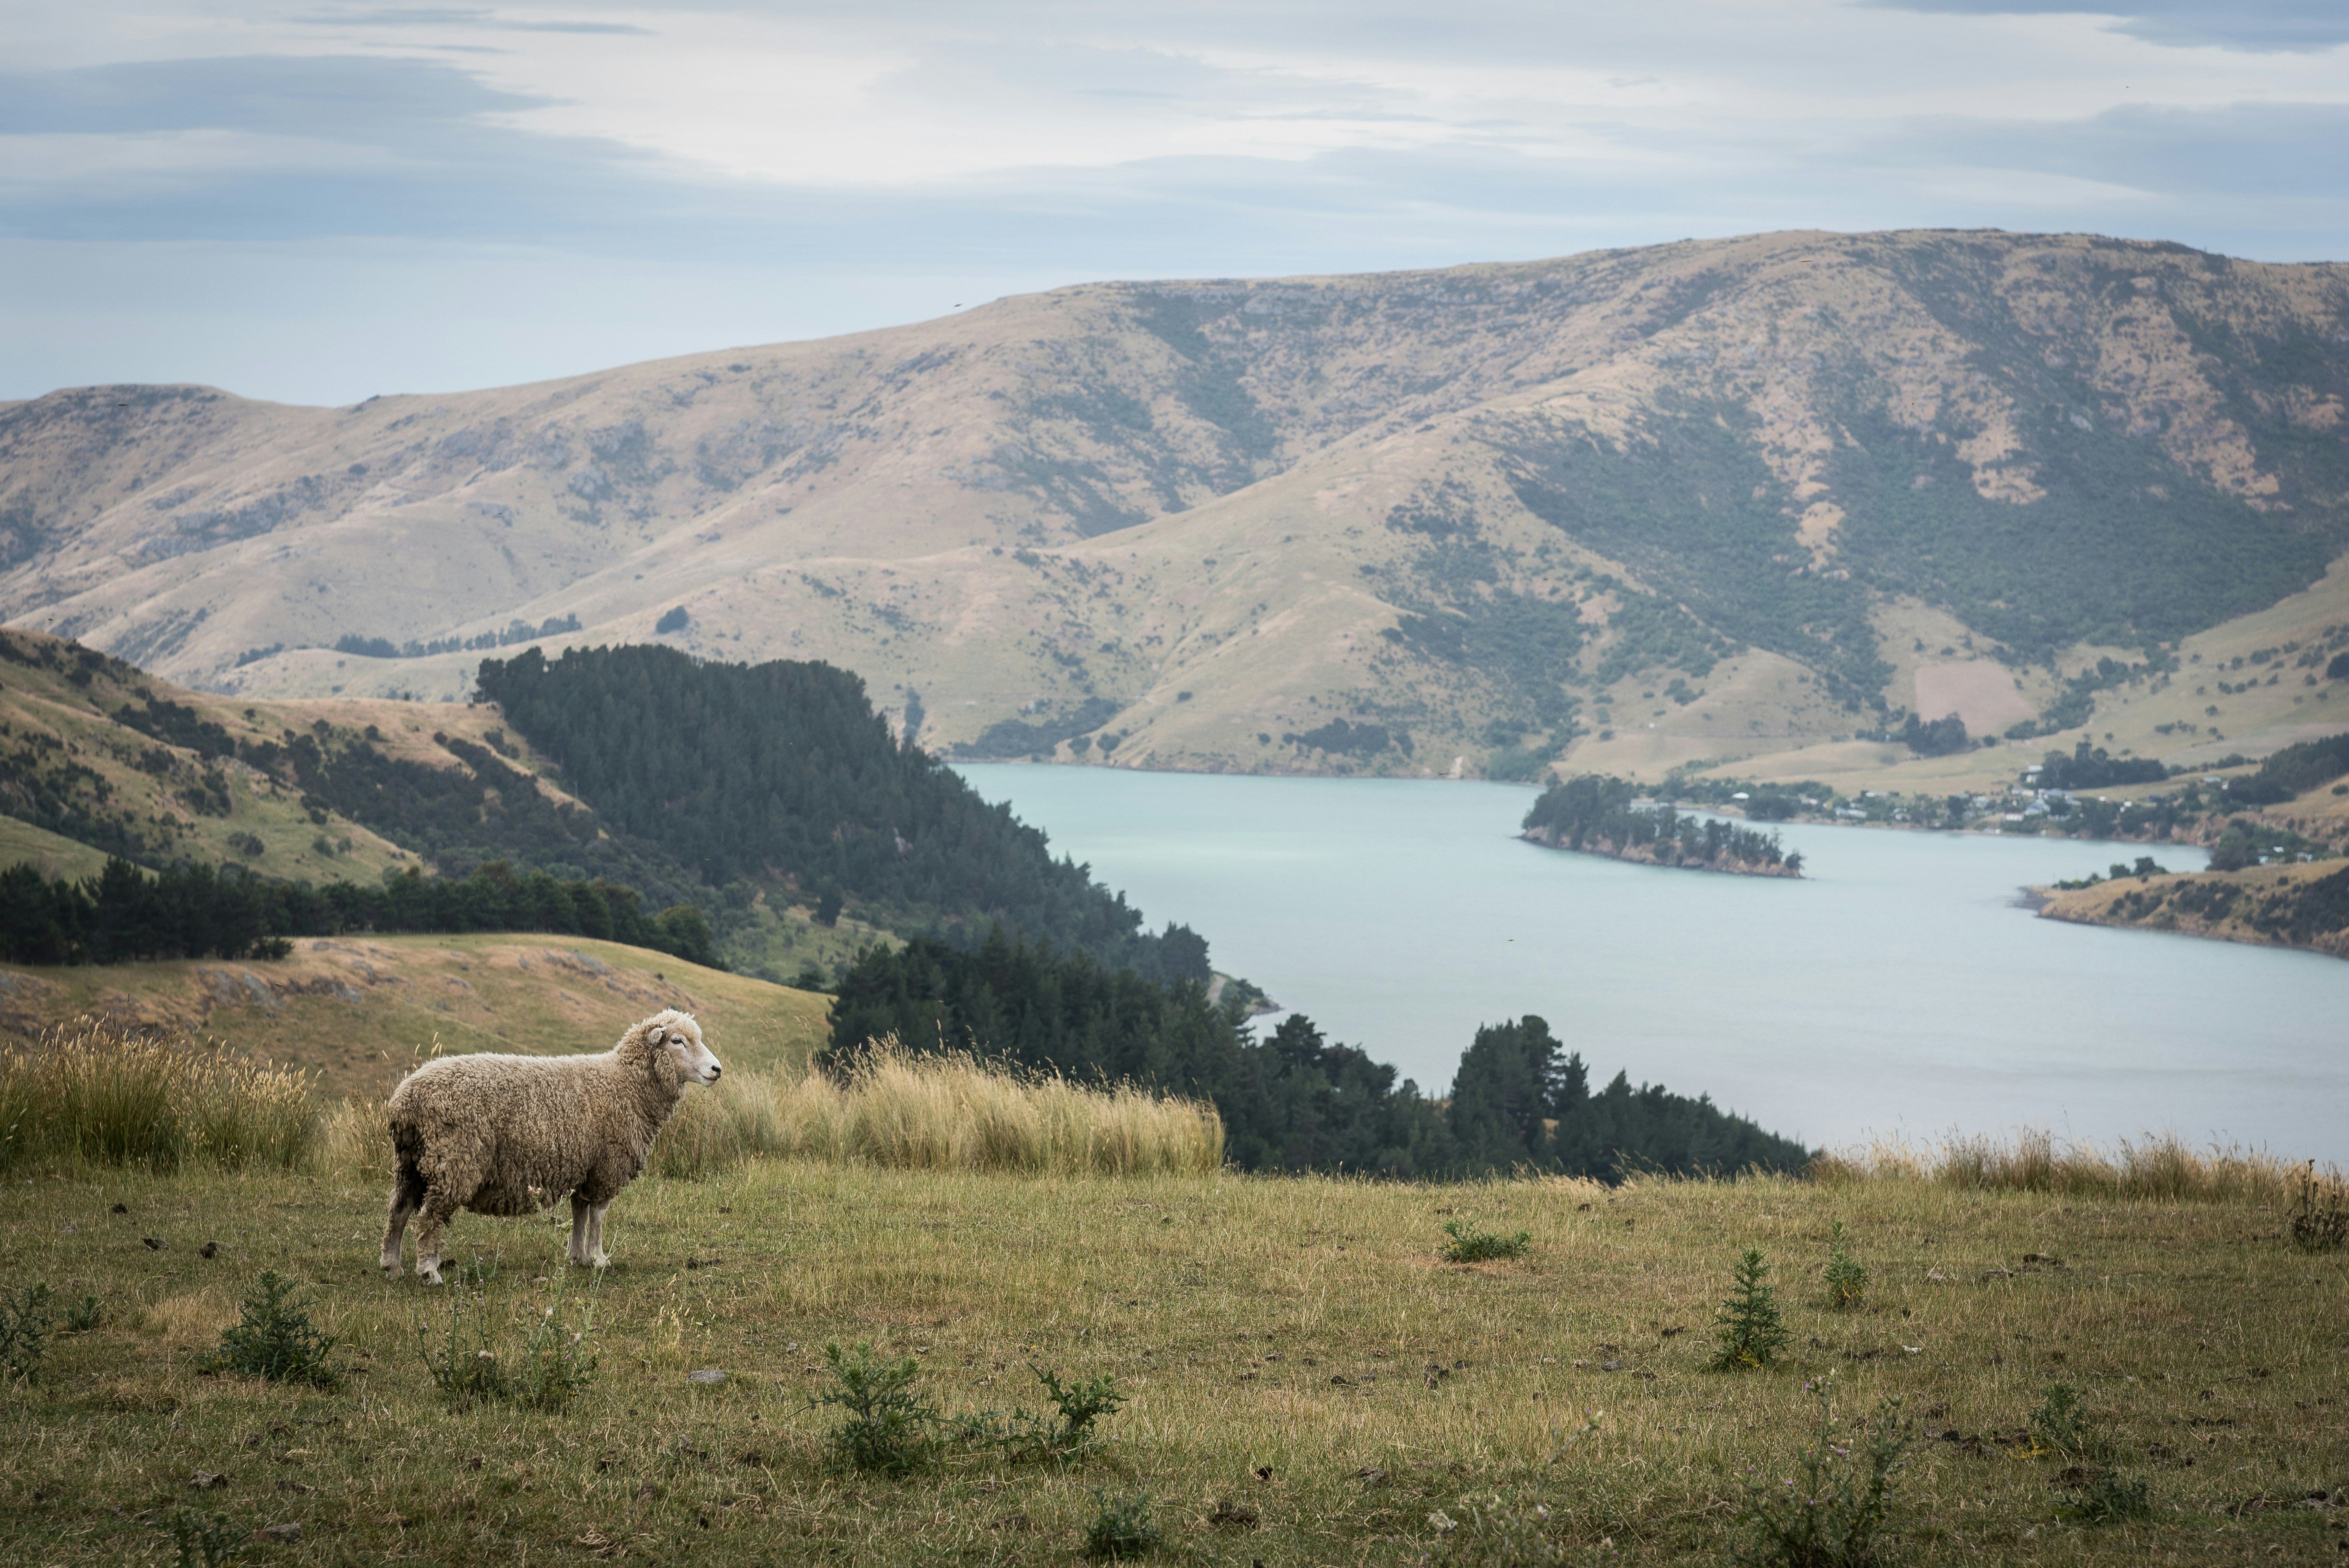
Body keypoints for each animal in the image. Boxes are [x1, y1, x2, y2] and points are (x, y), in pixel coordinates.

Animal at [380, 1008, 721, 1285]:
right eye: (677, 1041)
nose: (717, 1069)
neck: (625, 1084)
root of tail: (404, 1100)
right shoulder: (607, 1166)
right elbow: (598, 1216)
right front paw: (599, 1259)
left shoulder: (586, 1167)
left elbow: (580, 1212)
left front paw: (578, 1257)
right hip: (454, 1160)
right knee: (429, 1217)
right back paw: (429, 1271)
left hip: (411, 1161)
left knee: (399, 1210)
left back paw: (392, 1266)